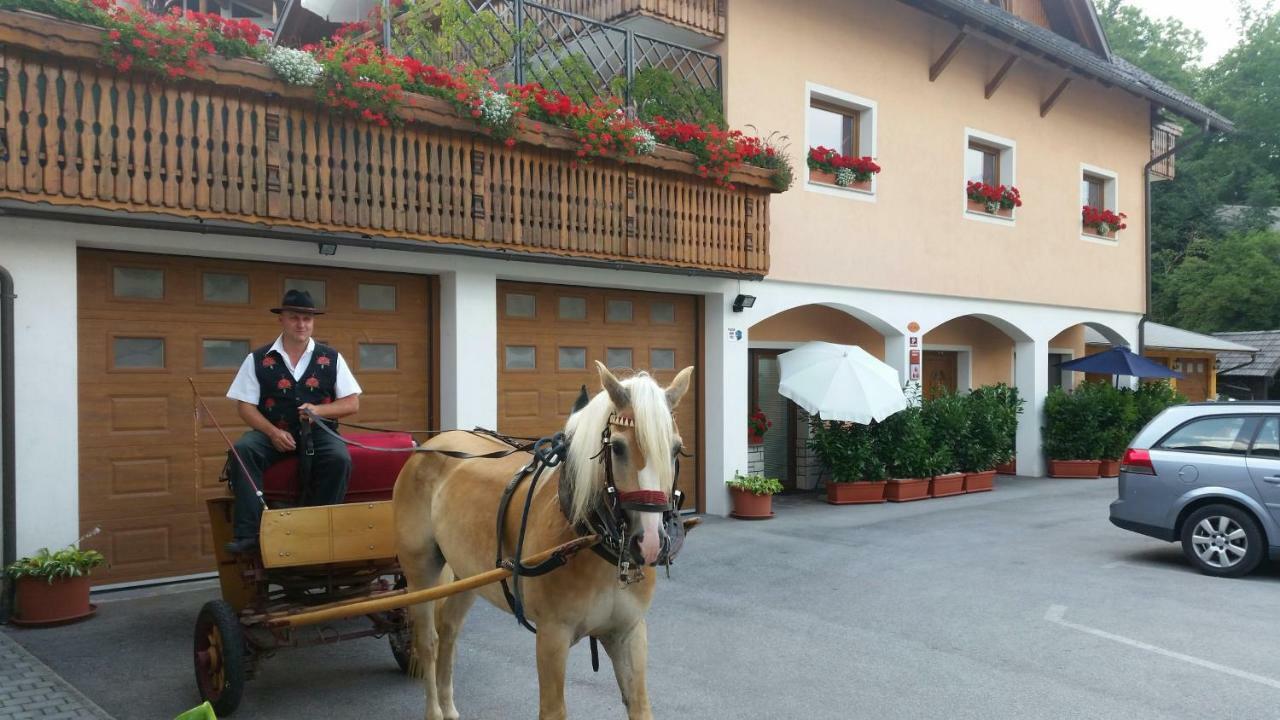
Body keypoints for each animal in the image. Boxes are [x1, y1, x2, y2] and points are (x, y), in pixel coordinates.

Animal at [394, 361, 696, 712]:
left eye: (676, 449)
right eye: (618, 447)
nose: (648, 543)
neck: (590, 540)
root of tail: (435, 442)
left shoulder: (629, 633)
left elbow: (640, 705)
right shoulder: (552, 637)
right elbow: (553, 709)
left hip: (469, 573)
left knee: (449, 629)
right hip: (420, 573)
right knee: (427, 641)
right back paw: (435, 708)